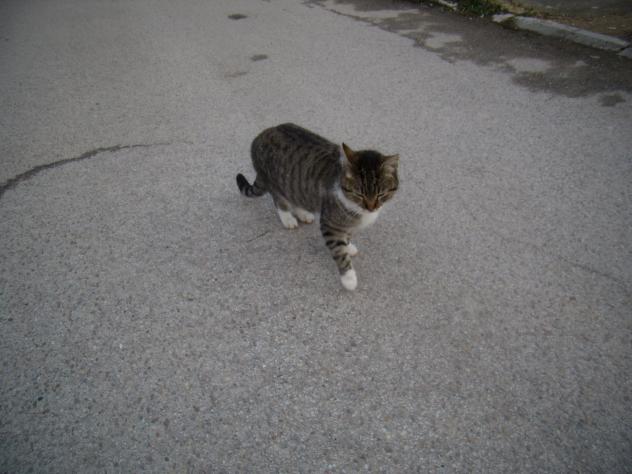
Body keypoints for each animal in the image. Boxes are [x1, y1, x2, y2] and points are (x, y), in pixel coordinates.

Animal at [236, 123, 399, 291]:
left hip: (295, 187)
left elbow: (346, 237)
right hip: (275, 183)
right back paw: (288, 218)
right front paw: (349, 278)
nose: (371, 208)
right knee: (279, 200)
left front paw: (348, 245)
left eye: (380, 194)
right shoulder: (330, 224)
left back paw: (303, 213)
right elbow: (339, 252)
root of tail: (259, 136)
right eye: (359, 194)